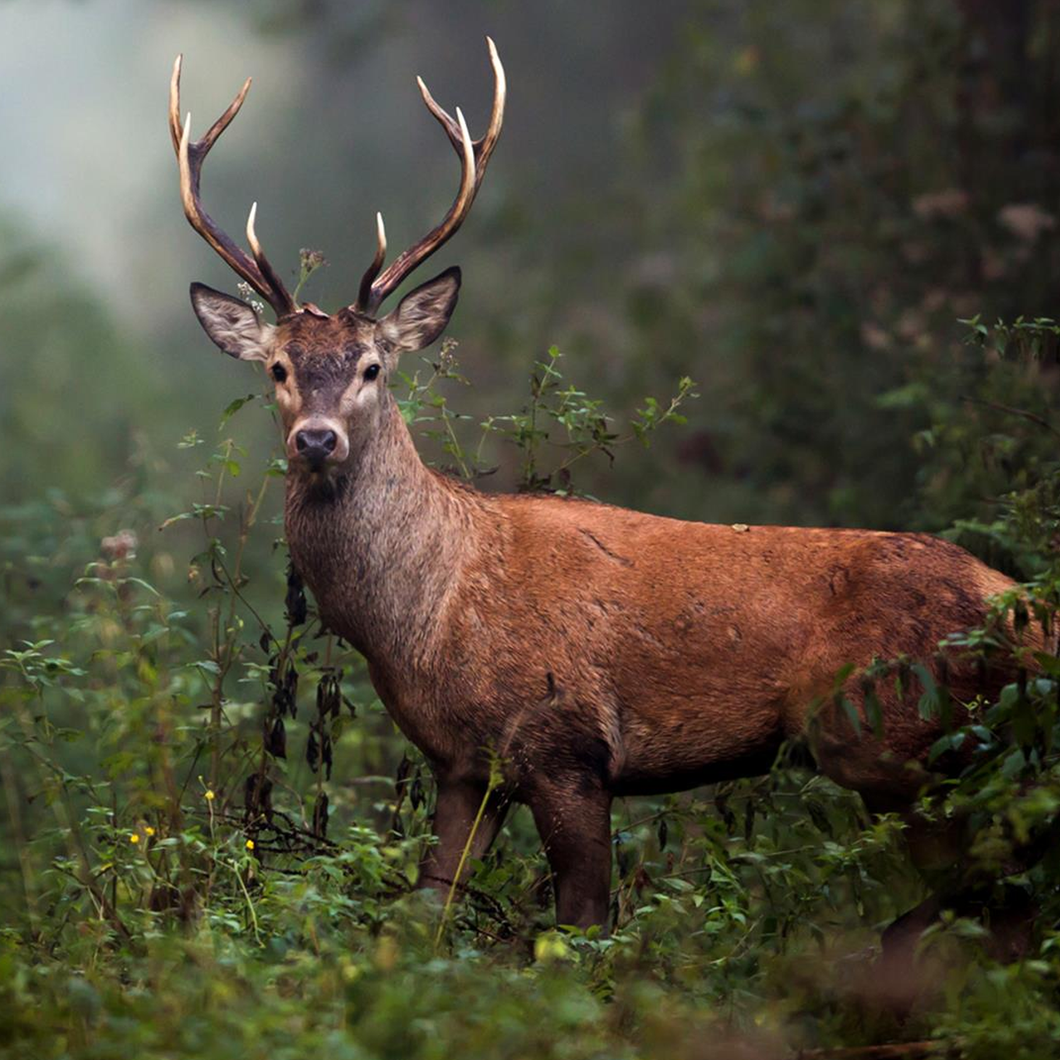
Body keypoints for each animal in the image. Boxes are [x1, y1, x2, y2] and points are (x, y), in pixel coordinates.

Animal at [167, 37, 1034, 941]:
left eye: (373, 366)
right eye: (278, 368)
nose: (316, 438)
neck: (428, 616)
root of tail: (1021, 607)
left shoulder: (569, 744)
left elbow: (581, 925)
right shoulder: (463, 765)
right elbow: (425, 914)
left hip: (898, 740)